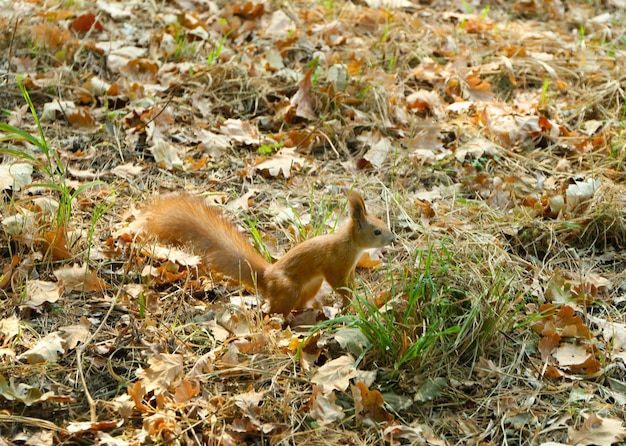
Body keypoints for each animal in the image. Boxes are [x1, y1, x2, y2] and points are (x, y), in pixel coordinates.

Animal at [144, 190, 392, 316]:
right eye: (377, 230)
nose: (394, 238)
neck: (351, 245)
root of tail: (266, 278)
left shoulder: (348, 269)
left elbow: (350, 282)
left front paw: (355, 295)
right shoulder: (334, 263)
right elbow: (339, 284)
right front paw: (349, 302)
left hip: (309, 287)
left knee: (296, 306)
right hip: (288, 288)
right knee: (272, 309)